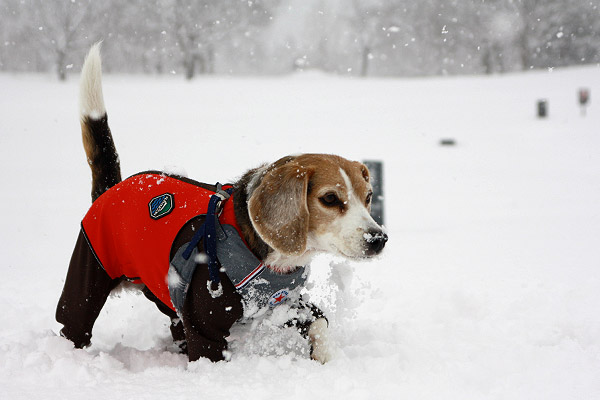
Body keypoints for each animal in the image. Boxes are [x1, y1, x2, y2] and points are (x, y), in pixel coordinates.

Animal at [55, 44, 384, 366]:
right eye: (329, 198)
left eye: (369, 196)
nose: (379, 239)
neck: (271, 258)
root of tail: (112, 188)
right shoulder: (205, 327)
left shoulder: (283, 304)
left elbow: (318, 322)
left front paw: (326, 357)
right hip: (89, 274)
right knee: (73, 323)